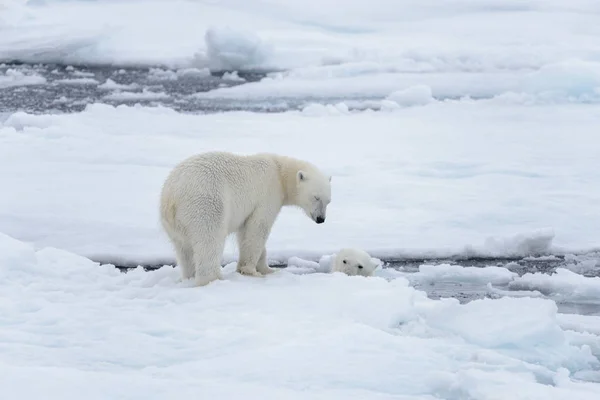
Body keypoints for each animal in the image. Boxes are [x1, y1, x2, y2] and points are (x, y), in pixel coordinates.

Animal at [158, 152, 332, 286]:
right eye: (315, 197)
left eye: (328, 200)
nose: (320, 219)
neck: (280, 173)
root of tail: (171, 196)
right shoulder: (267, 196)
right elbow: (257, 229)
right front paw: (252, 271)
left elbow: (245, 233)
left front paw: (267, 269)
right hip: (206, 205)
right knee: (210, 241)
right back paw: (214, 279)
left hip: (174, 223)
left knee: (184, 249)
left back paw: (189, 277)